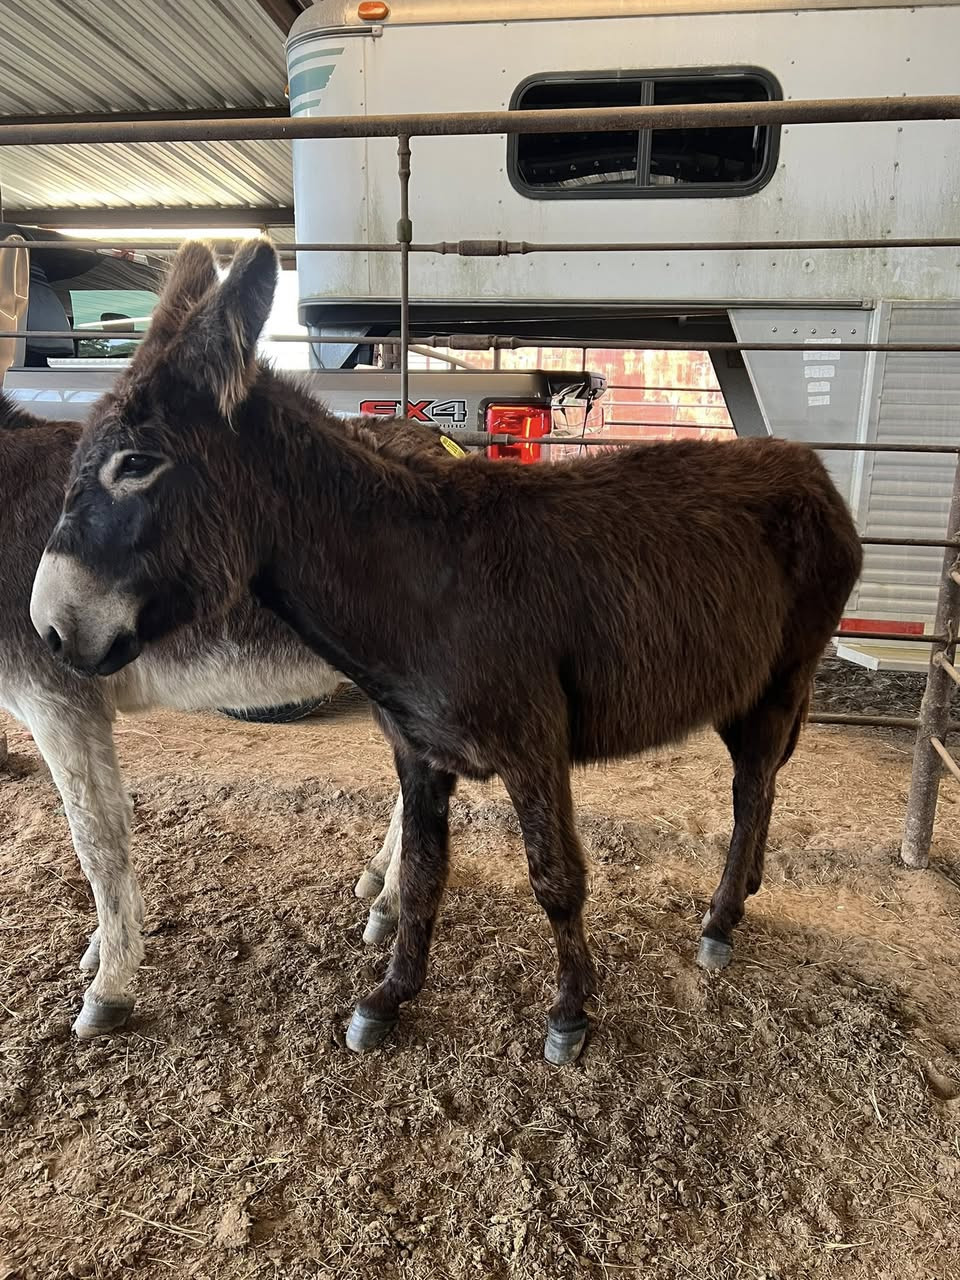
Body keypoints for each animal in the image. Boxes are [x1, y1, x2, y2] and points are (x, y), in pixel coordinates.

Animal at [31, 240, 863, 1063]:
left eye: (135, 464)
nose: (46, 629)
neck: (423, 586)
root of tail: (809, 465)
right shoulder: (419, 755)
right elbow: (422, 875)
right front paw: (389, 998)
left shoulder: (534, 748)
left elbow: (556, 878)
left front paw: (570, 1011)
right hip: (739, 686)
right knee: (765, 783)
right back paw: (744, 889)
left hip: (786, 673)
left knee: (752, 787)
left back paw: (720, 922)